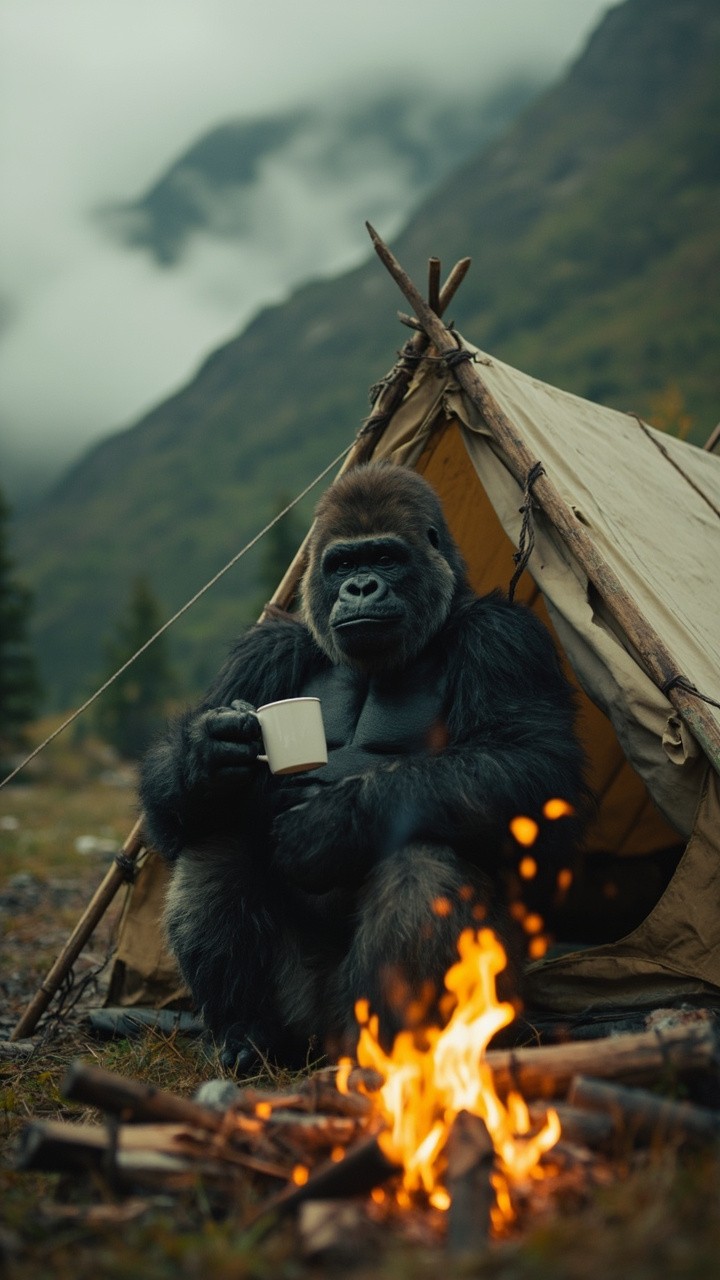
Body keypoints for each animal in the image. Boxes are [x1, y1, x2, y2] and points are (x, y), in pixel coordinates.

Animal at [139, 462, 586, 1071]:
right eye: (344, 565)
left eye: (384, 557)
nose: (359, 588)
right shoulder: (264, 648)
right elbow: (173, 812)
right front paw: (208, 754)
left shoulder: (504, 638)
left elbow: (534, 767)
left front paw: (337, 820)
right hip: (301, 1013)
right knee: (216, 838)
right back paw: (246, 1034)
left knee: (421, 861)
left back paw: (399, 1054)